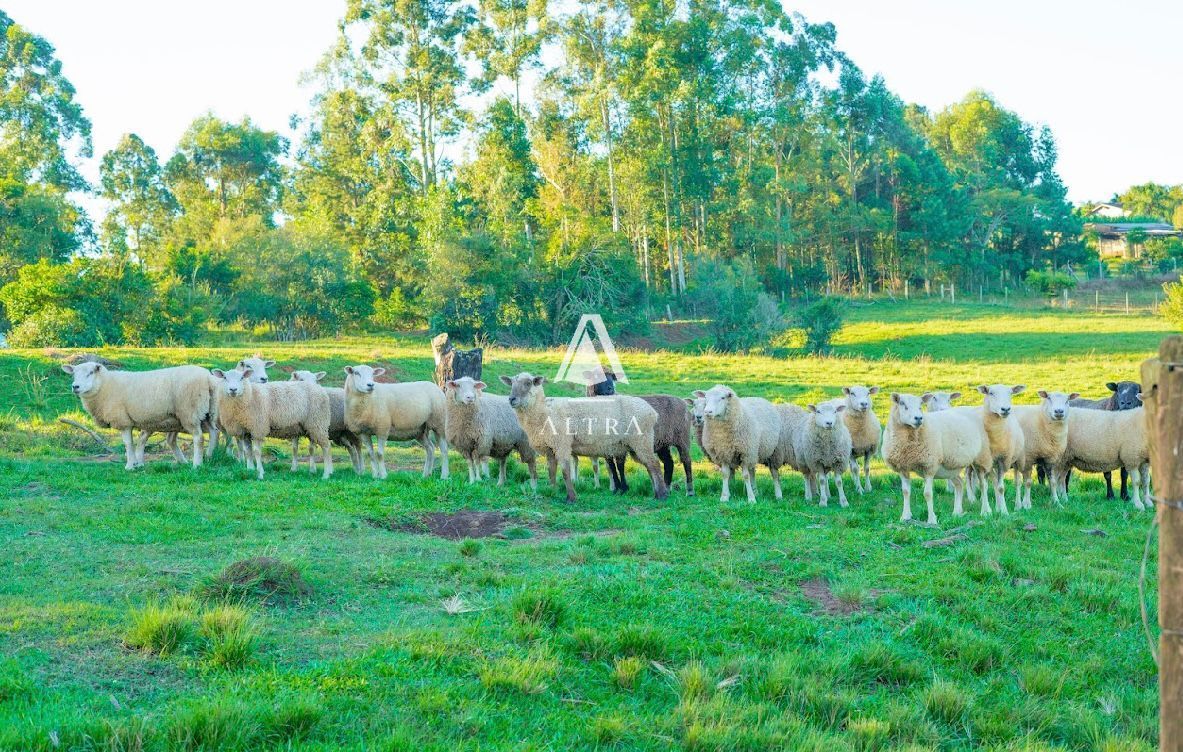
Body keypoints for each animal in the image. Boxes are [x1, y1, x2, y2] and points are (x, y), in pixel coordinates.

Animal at [62, 361, 216, 470]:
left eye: (90, 372)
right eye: (73, 374)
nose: (75, 386)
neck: (105, 386)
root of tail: (207, 377)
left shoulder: (123, 421)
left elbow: (128, 443)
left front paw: (130, 466)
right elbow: (140, 441)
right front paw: (137, 464)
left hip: (190, 412)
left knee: (199, 438)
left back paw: (197, 464)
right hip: (207, 413)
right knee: (213, 433)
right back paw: (209, 456)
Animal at [499, 373, 667, 501]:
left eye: (528, 383)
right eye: (511, 383)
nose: (511, 399)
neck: (544, 412)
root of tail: (652, 412)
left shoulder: (562, 443)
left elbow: (565, 471)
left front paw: (571, 497)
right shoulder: (550, 448)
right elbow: (551, 471)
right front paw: (553, 491)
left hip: (641, 440)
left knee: (654, 464)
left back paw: (661, 495)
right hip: (635, 445)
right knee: (650, 466)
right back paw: (657, 492)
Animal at [884, 390, 993, 524]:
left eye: (920, 405)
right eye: (902, 403)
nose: (918, 418)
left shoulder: (929, 466)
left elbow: (927, 494)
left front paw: (931, 519)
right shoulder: (902, 467)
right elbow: (905, 492)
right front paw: (905, 516)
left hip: (981, 457)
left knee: (983, 485)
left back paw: (986, 511)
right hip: (951, 466)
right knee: (959, 484)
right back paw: (957, 512)